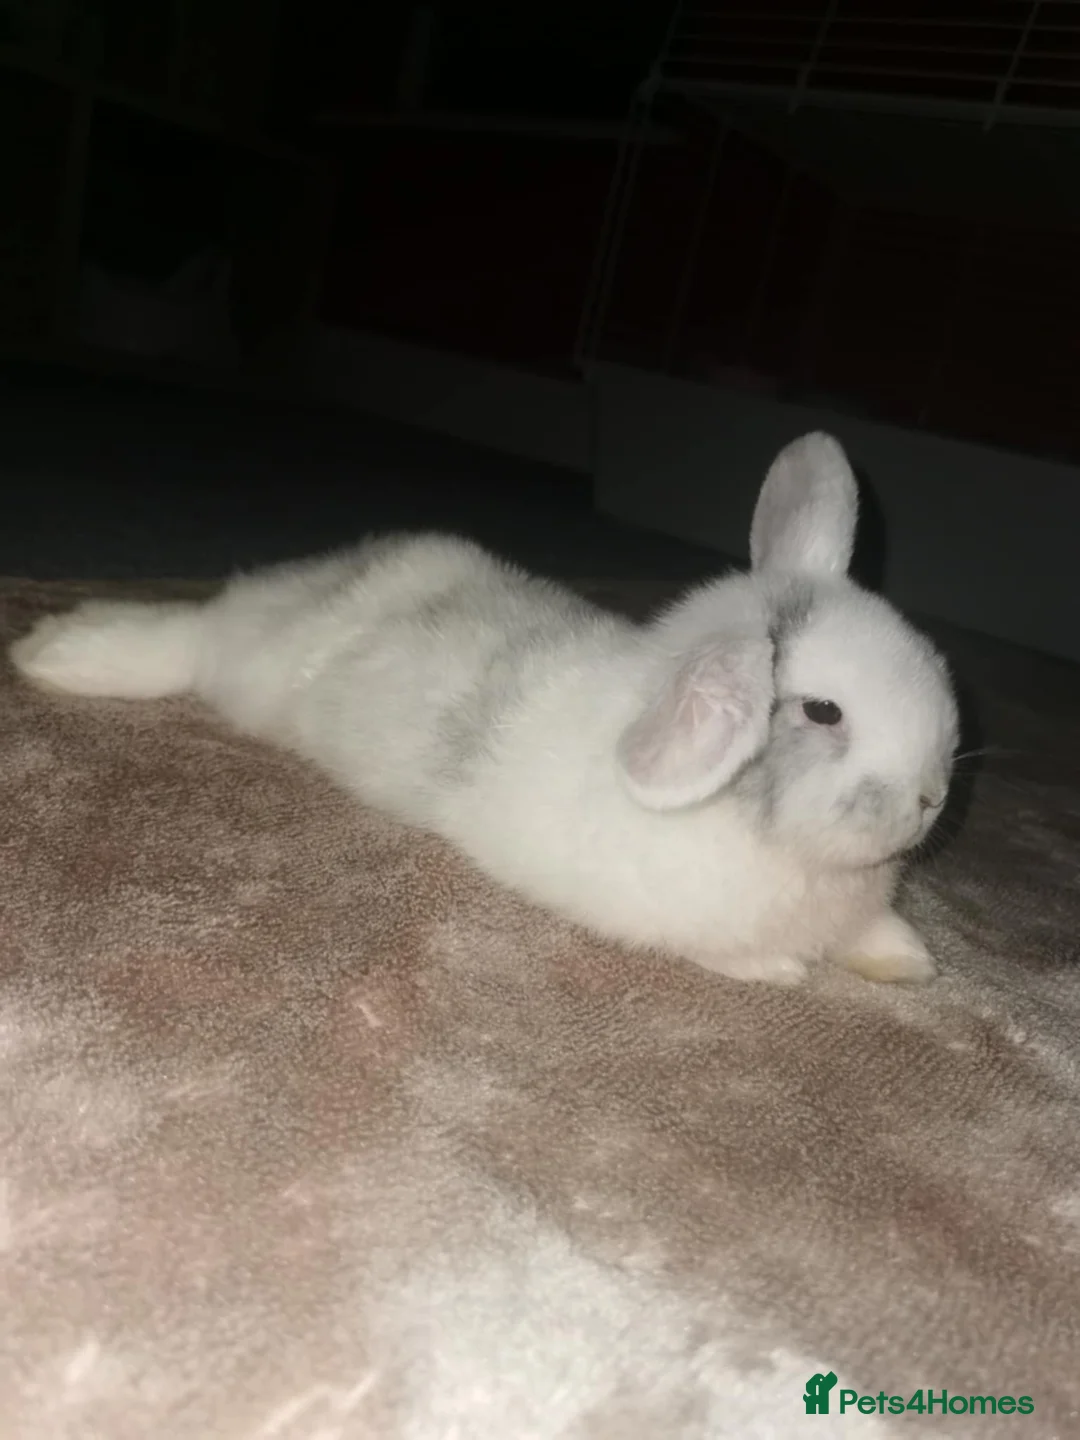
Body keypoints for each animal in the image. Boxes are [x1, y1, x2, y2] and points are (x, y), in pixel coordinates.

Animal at [9, 432, 958, 986]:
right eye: (824, 712)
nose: (931, 798)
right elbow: (750, 958)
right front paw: (786, 971)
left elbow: (873, 935)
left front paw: (907, 962)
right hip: (235, 670)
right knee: (185, 643)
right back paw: (58, 652)